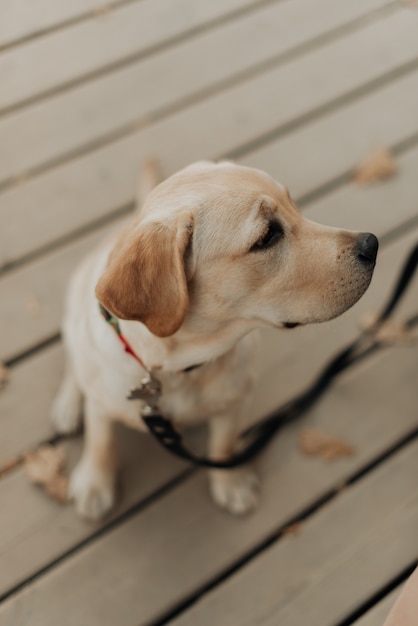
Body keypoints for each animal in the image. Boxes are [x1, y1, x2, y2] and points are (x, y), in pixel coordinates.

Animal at [50, 158, 378, 520]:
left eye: (294, 205)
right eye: (267, 236)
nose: (372, 244)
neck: (178, 368)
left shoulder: (233, 402)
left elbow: (223, 446)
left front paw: (230, 483)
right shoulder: (102, 406)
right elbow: (101, 440)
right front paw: (95, 482)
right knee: (74, 364)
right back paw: (68, 404)